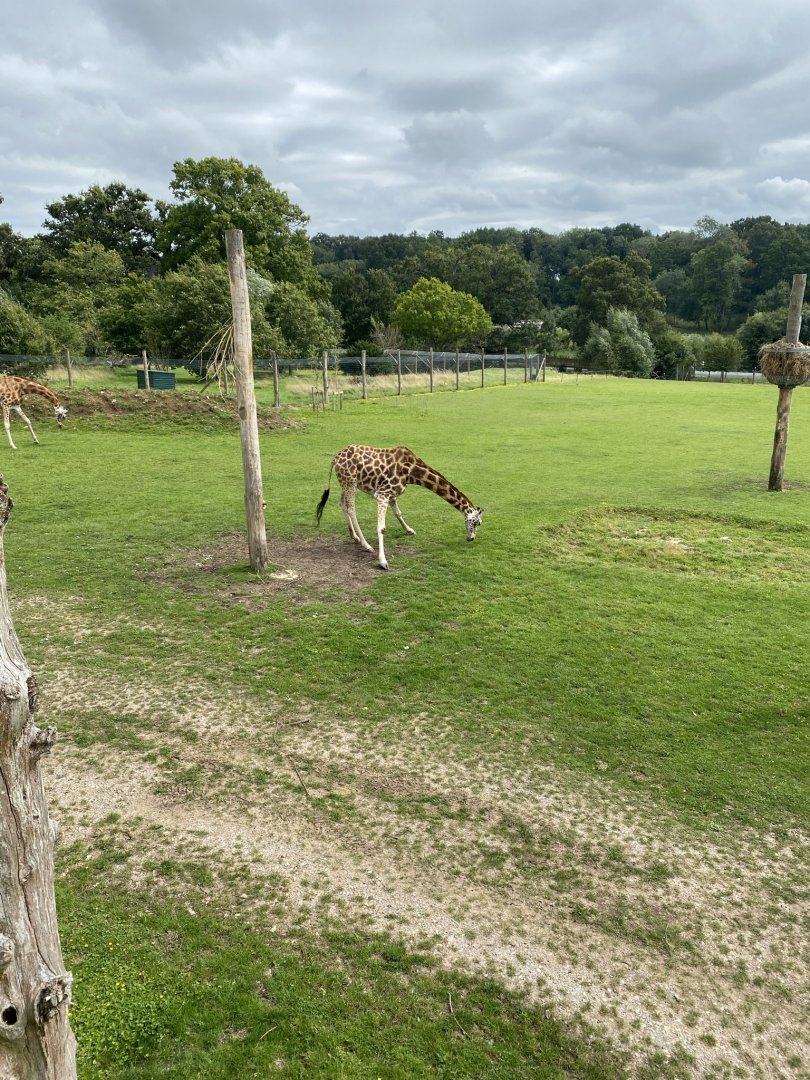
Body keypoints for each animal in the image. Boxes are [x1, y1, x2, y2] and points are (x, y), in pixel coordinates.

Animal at [315, 445, 483, 570]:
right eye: (477, 523)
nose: (471, 538)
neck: (412, 473)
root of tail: (335, 458)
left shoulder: (391, 494)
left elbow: (398, 513)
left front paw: (409, 530)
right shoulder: (382, 494)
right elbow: (381, 528)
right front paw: (383, 561)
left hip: (345, 483)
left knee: (342, 504)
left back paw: (355, 537)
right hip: (350, 481)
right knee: (351, 509)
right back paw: (366, 545)